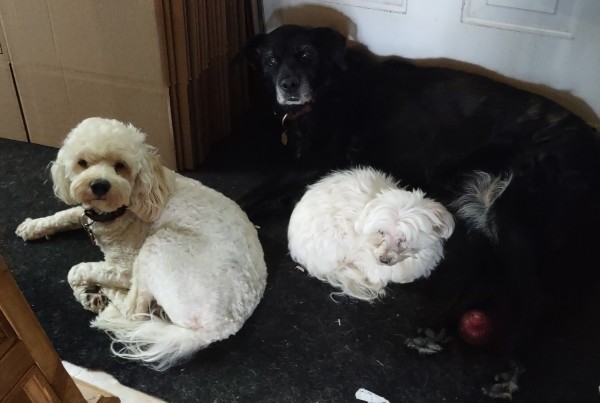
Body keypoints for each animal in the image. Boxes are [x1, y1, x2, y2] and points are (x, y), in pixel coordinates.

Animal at [15, 117, 268, 370]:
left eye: (121, 165)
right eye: (82, 163)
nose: (99, 185)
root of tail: (223, 325)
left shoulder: (125, 266)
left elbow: (76, 270)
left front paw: (87, 292)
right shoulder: (87, 214)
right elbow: (66, 214)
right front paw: (33, 226)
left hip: (158, 246)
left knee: (133, 311)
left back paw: (108, 293)